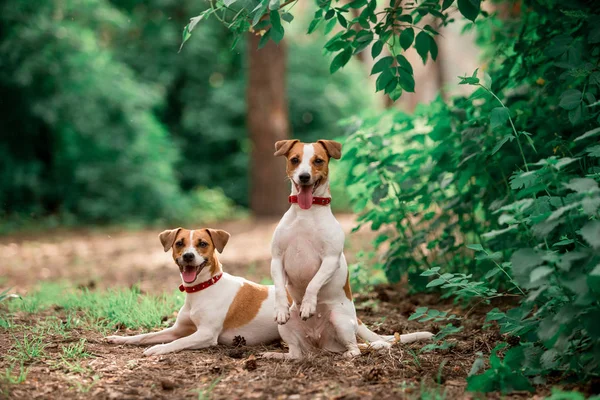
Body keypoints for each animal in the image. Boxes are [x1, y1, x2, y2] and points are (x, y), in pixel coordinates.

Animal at [105, 228, 278, 356]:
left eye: (202, 243)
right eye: (179, 243)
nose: (188, 256)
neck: (202, 288)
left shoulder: (207, 334)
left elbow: (179, 341)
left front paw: (158, 348)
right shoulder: (177, 330)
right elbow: (145, 336)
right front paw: (119, 338)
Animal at [264, 141, 434, 360]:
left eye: (318, 161)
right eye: (295, 159)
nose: (304, 176)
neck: (305, 213)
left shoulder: (330, 259)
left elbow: (313, 283)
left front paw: (309, 304)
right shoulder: (277, 259)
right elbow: (279, 288)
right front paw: (281, 309)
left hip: (340, 320)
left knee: (355, 347)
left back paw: (351, 353)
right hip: (286, 329)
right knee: (296, 354)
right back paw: (278, 355)